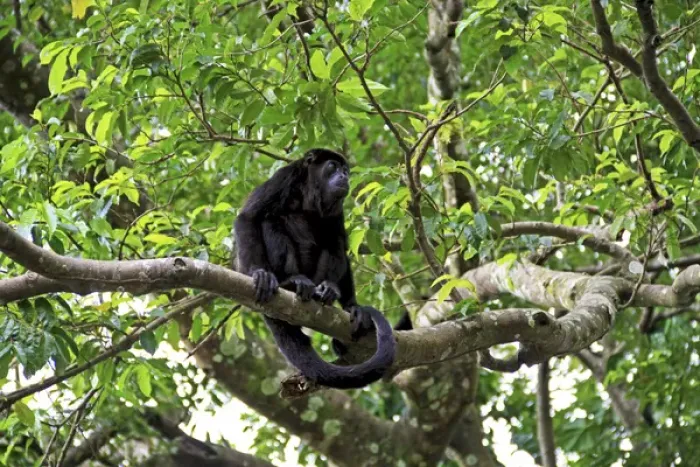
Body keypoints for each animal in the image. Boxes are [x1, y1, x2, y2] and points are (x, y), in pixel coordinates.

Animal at [234, 148, 409, 389]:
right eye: (332, 166)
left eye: (345, 170)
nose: (344, 176)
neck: (310, 193)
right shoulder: (285, 178)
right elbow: (249, 217)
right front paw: (257, 272)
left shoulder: (338, 207)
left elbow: (341, 244)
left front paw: (352, 306)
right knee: (272, 220)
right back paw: (291, 282)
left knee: (332, 240)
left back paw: (326, 290)